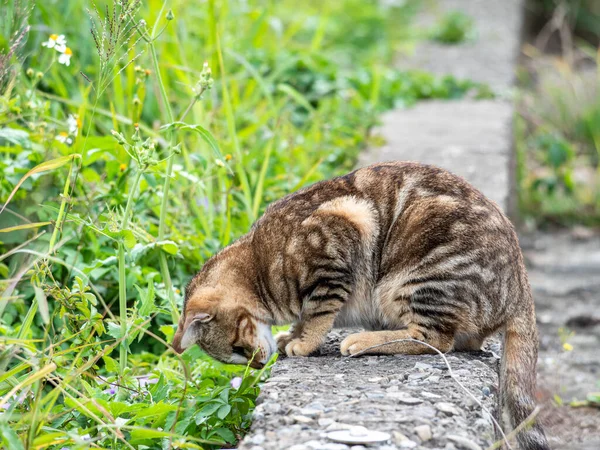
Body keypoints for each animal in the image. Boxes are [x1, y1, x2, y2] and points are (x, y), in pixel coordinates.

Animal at [172, 162, 548, 450]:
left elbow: (318, 311)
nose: (259, 365)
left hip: (418, 275)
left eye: (238, 348)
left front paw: (303, 341)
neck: (258, 261)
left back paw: (362, 341)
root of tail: (520, 285)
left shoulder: (339, 237)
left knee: (433, 339)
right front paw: (292, 334)